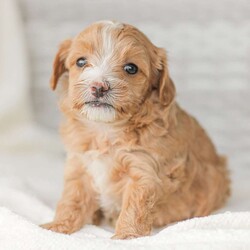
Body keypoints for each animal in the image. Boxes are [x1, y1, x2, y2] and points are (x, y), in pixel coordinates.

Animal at [41, 20, 230, 239]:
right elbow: (72, 199)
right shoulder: (79, 164)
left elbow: (134, 207)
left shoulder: (143, 169)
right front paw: (58, 226)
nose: (98, 87)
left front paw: (125, 237)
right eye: (81, 62)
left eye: (131, 68)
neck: (105, 130)